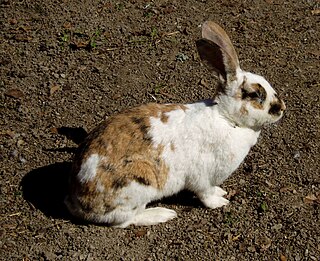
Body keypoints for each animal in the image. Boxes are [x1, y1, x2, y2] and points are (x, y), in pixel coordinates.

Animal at [64, 21, 284, 226]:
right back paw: (162, 214)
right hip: (137, 185)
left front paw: (221, 192)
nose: (281, 108)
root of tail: (77, 199)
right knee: (125, 220)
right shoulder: (202, 177)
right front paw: (220, 202)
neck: (226, 118)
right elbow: (205, 194)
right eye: (255, 95)